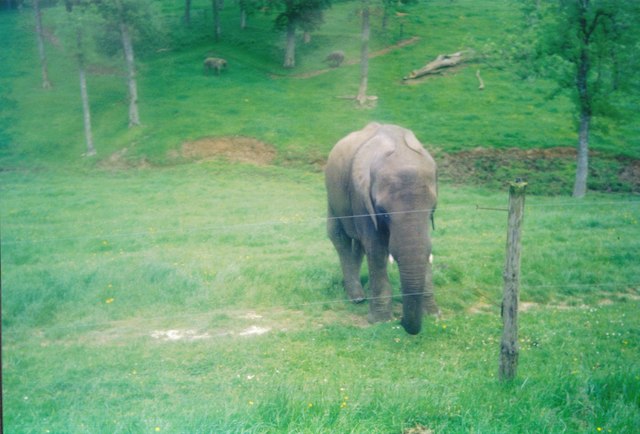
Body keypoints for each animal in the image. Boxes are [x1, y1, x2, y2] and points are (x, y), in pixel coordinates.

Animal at [325, 123, 439, 334]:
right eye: (383, 212)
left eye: (432, 210)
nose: (401, 321)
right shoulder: (361, 197)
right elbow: (376, 248)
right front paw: (380, 321)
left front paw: (433, 315)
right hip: (332, 195)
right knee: (340, 237)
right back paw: (356, 297)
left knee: (358, 244)